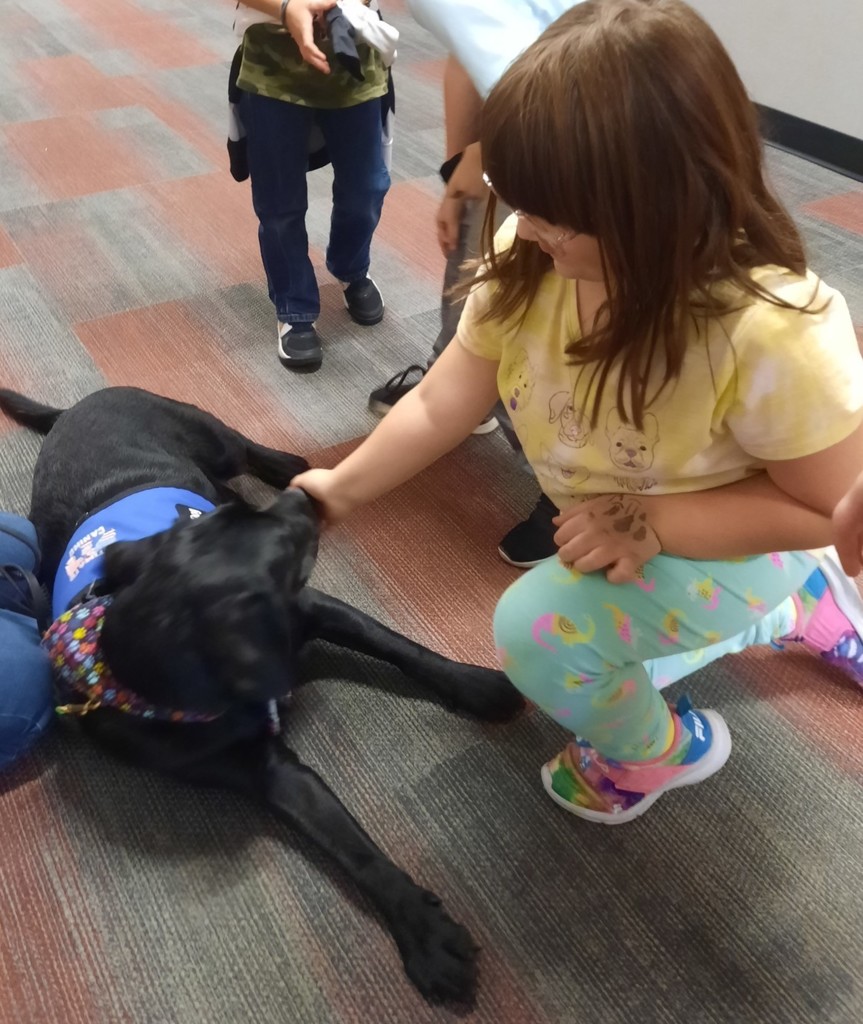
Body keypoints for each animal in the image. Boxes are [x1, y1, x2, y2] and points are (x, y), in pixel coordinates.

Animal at [0, 387, 524, 1003]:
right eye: (282, 548)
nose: (307, 500)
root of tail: (78, 403)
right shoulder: (269, 771)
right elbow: (352, 846)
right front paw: (424, 934)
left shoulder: (317, 607)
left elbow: (404, 650)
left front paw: (478, 685)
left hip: (213, 440)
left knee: (242, 450)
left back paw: (285, 463)